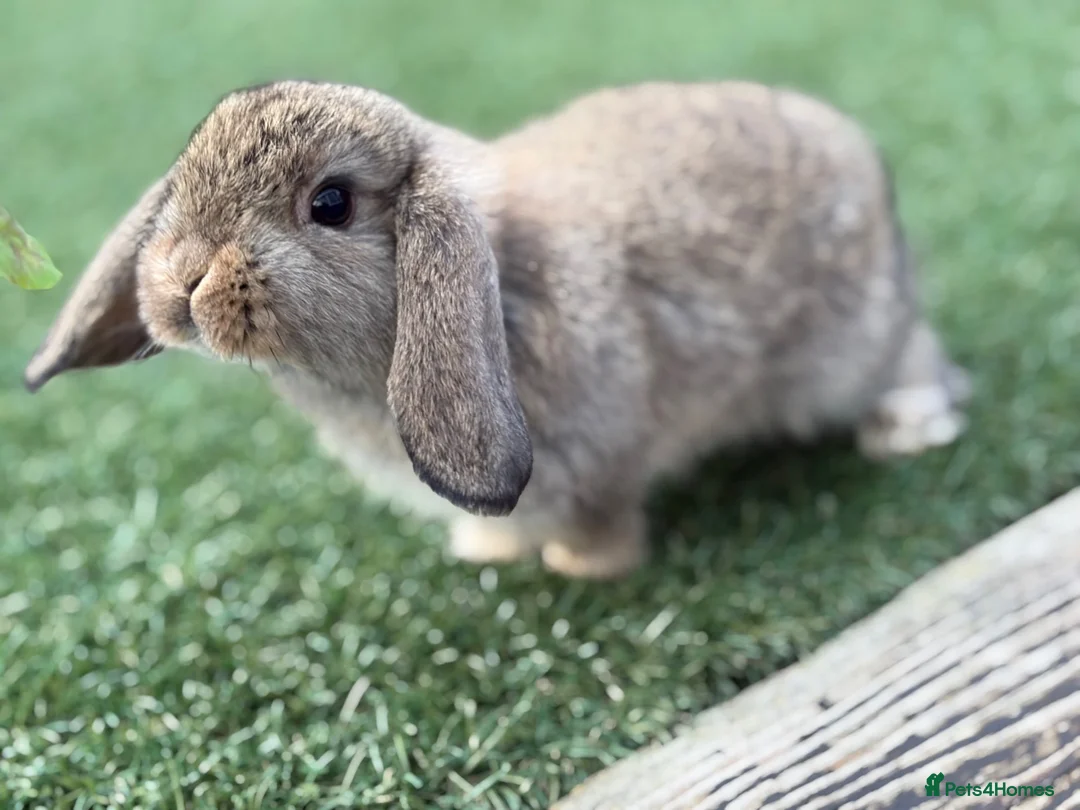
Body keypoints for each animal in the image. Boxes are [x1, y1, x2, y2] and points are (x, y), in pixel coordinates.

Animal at [25, 80, 971, 579]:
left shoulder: (603, 454)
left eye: (330, 203)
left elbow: (602, 515)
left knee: (915, 363)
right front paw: (486, 552)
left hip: (858, 347)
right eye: (185, 177)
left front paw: (581, 569)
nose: (180, 279)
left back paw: (905, 428)